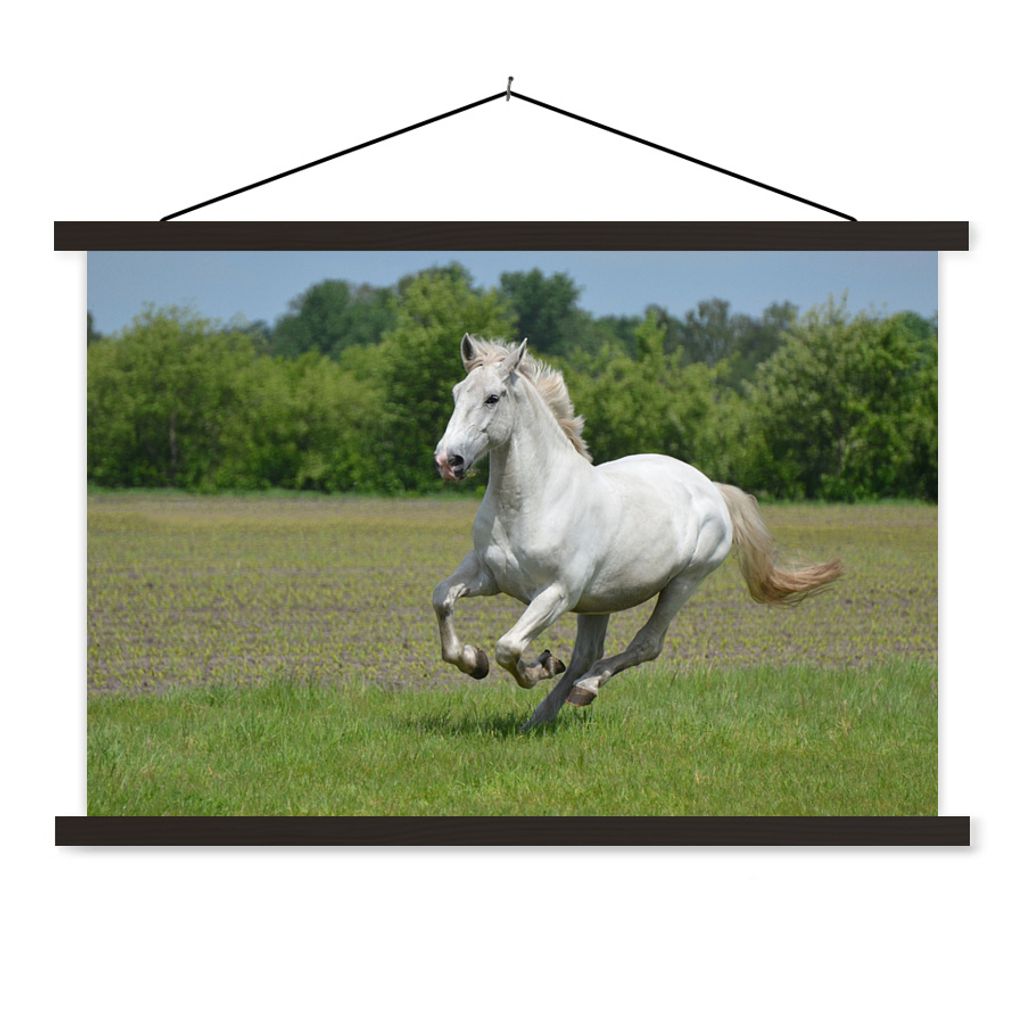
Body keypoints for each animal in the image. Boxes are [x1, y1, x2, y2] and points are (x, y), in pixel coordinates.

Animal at [432, 333, 841, 730]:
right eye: (456, 393)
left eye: (492, 397)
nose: (448, 461)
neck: (535, 501)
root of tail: (711, 487)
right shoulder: (488, 575)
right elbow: (443, 600)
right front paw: (475, 661)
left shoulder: (556, 593)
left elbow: (509, 647)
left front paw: (537, 667)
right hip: (598, 601)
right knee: (586, 655)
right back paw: (540, 716)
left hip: (683, 583)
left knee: (645, 645)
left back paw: (585, 689)